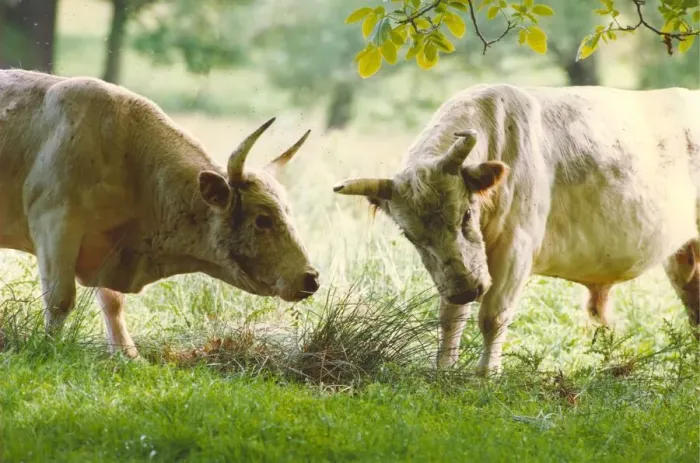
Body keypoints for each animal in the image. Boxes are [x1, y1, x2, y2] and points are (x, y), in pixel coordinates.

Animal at [0, 69, 320, 358]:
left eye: (288, 212)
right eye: (262, 220)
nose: (310, 278)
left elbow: (113, 303)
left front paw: (129, 355)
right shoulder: (55, 225)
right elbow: (60, 300)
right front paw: (48, 348)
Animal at [333, 83, 699, 375]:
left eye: (466, 215)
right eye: (411, 236)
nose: (466, 289)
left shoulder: (516, 249)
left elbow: (493, 315)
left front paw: (487, 375)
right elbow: (451, 316)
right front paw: (444, 369)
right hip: (682, 255)